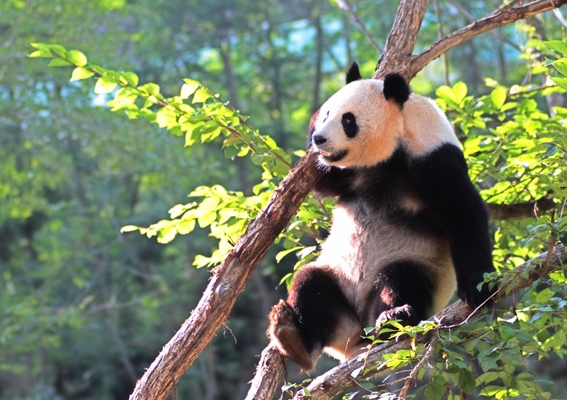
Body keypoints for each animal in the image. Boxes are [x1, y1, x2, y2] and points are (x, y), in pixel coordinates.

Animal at [268, 62, 494, 372]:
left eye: (348, 120)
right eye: (326, 113)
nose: (319, 139)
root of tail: (355, 341)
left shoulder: (433, 156)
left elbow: (462, 212)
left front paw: (478, 288)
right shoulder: (348, 173)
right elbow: (322, 184)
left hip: (419, 264)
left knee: (401, 277)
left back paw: (392, 318)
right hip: (337, 283)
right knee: (310, 283)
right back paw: (293, 337)